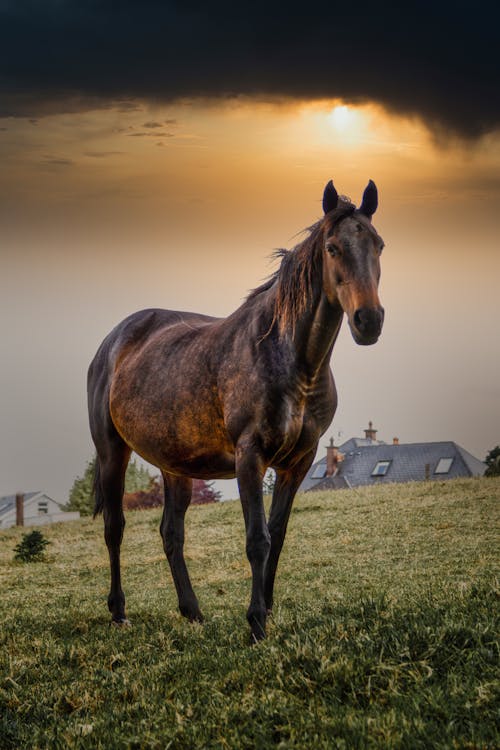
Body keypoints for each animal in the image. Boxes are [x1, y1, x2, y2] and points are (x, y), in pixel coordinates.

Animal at [88, 179, 384, 644]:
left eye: (379, 245)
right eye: (333, 247)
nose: (368, 320)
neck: (290, 358)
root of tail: (113, 342)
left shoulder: (298, 463)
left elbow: (277, 535)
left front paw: (268, 610)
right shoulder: (250, 456)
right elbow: (257, 538)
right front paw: (256, 622)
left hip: (176, 467)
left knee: (171, 534)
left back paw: (192, 611)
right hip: (111, 452)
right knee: (114, 528)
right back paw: (119, 612)